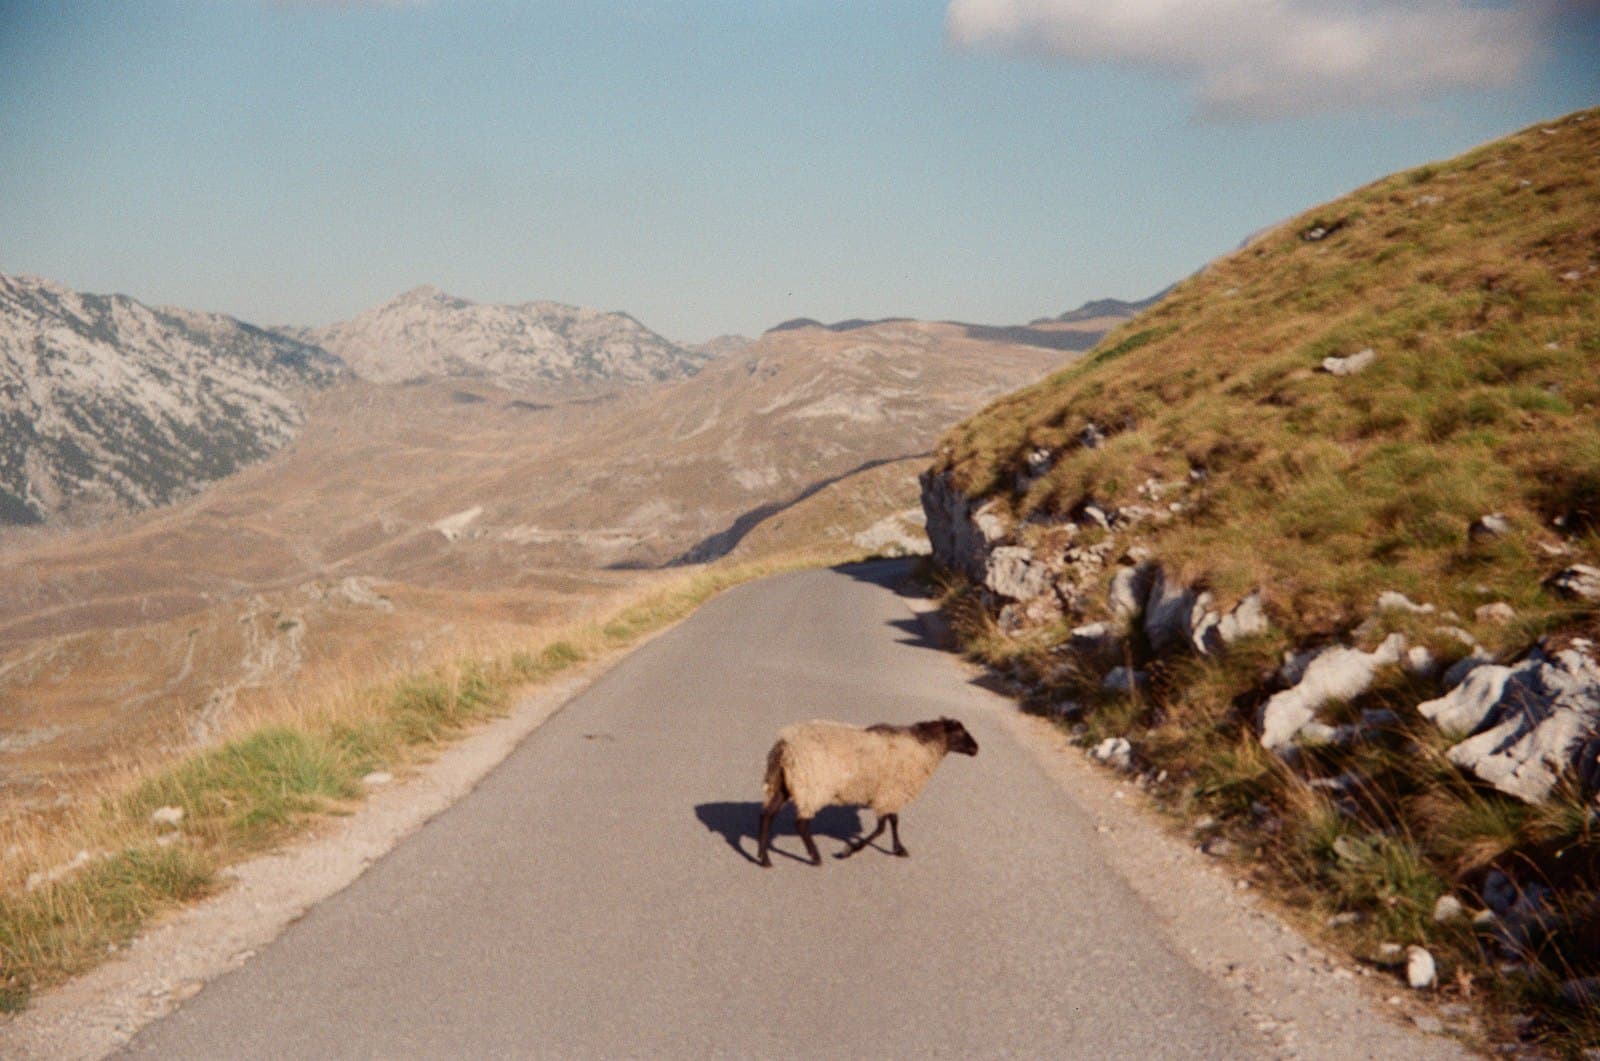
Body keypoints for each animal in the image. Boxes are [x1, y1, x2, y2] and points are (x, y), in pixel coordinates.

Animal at [756, 716, 978, 868]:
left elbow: (893, 821)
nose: (976, 749)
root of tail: (784, 744)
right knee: (801, 823)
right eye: (960, 733)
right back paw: (815, 857)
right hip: (811, 785)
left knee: (767, 815)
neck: (922, 747)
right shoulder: (889, 793)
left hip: (783, 783)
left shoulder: (889, 793)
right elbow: (882, 828)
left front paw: (899, 848)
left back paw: (764, 858)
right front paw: (849, 850)